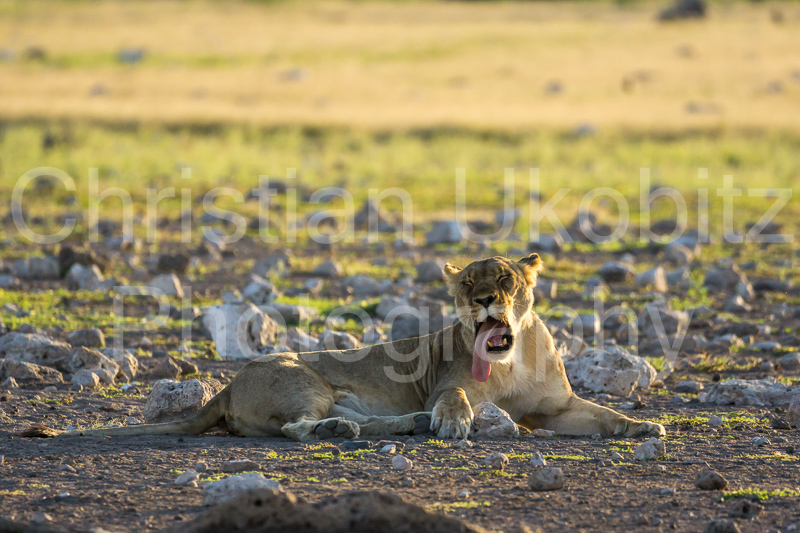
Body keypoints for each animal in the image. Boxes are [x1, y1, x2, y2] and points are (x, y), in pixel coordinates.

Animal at [22, 254, 665, 442]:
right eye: (467, 285)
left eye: (506, 281)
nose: (485, 301)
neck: (515, 358)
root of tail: (225, 386)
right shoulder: (447, 381)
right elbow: (455, 396)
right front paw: (455, 423)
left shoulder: (554, 409)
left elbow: (602, 413)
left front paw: (644, 427)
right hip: (306, 380)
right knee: (295, 430)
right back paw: (348, 430)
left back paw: (397, 425)